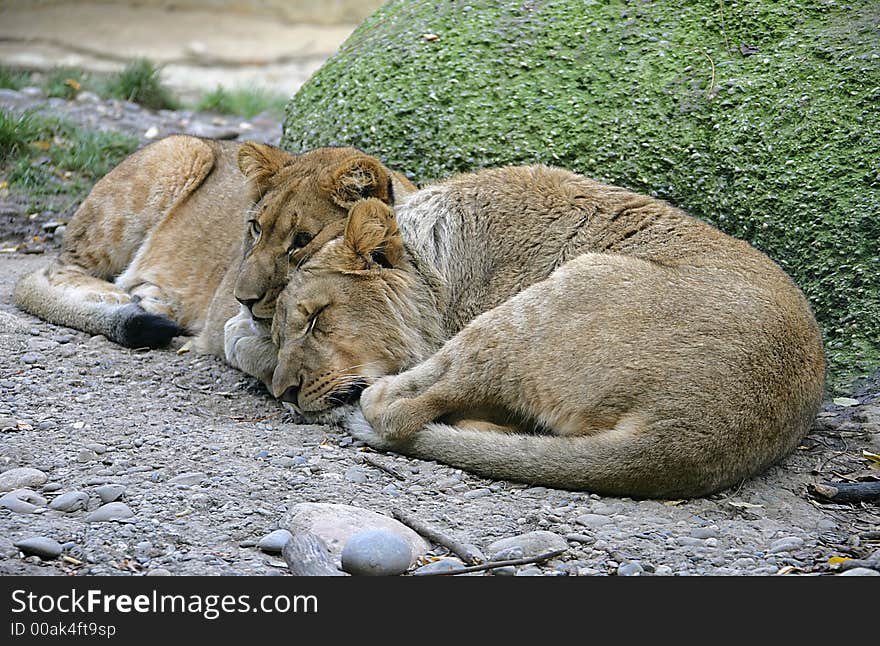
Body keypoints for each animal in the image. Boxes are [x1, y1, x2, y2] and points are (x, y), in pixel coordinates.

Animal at [11, 136, 416, 378]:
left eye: (302, 240)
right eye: (255, 228)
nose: (243, 300)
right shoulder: (229, 326)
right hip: (181, 153)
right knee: (56, 270)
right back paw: (116, 298)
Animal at [254, 165, 824, 498]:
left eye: (315, 317)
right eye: (278, 337)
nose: (283, 392)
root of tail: (687, 438)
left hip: (554, 295)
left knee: (396, 409)